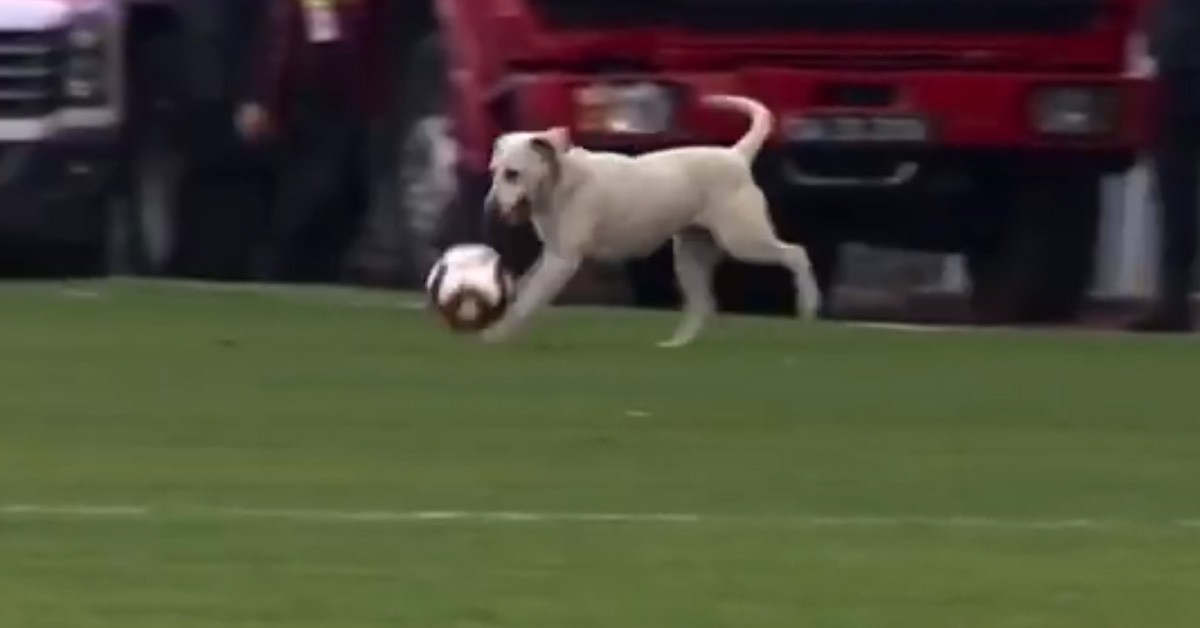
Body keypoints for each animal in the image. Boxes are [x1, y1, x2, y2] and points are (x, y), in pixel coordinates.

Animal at [482, 96, 820, 345]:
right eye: (493, 171)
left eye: (513, 174)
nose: (489, 209)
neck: (562, 181)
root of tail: (736, 156)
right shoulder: (550, 255)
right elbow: (523, 288)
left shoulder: (561, 261)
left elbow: (527, 300)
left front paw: (495, 335)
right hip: (690, 256)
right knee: (704, 304)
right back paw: (676, 347)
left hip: (744, 240)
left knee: (796, 253)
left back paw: (808, 306)